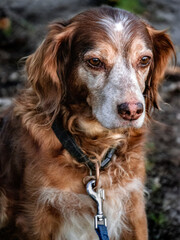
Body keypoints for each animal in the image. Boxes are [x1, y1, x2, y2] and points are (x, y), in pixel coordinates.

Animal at [0, 6, 174, 239]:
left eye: (144, 60)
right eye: (95, 62)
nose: (132, 111)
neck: (94, 153)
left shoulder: (133, 204)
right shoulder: (34, 215)